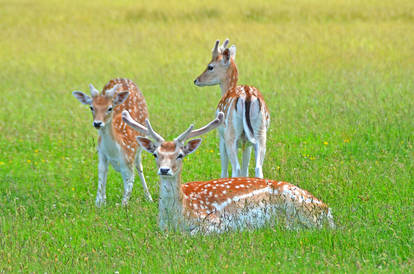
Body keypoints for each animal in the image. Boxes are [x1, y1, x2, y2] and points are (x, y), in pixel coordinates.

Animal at [73, 77, 154, 206]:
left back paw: (149, 197)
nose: (97, 123)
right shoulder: (101, 154)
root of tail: (123, 78)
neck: (115, 151)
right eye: (91, 107)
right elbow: (102, 176)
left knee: (139, 166)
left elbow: (126, 194)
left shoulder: (129, 159)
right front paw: (99, 203)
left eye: (110, 108)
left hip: (140, 146)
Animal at [120, 110, 334, 234]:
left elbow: (193, 233)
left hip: (298, 205)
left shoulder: (216, 221)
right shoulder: (161, 227)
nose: (164, 170)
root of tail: (327, 209)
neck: (178, 215)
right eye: (156, 154)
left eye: (180, 155)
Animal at [195, 39, 272, 180]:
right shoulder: (246, 142)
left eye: (210, 66)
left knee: (236, 168)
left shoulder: (221, 137)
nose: (196, 80)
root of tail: (247, 96)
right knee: (258, 168)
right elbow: (245, 170)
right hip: (260, 133)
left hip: (230, 134)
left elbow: (224, 168)